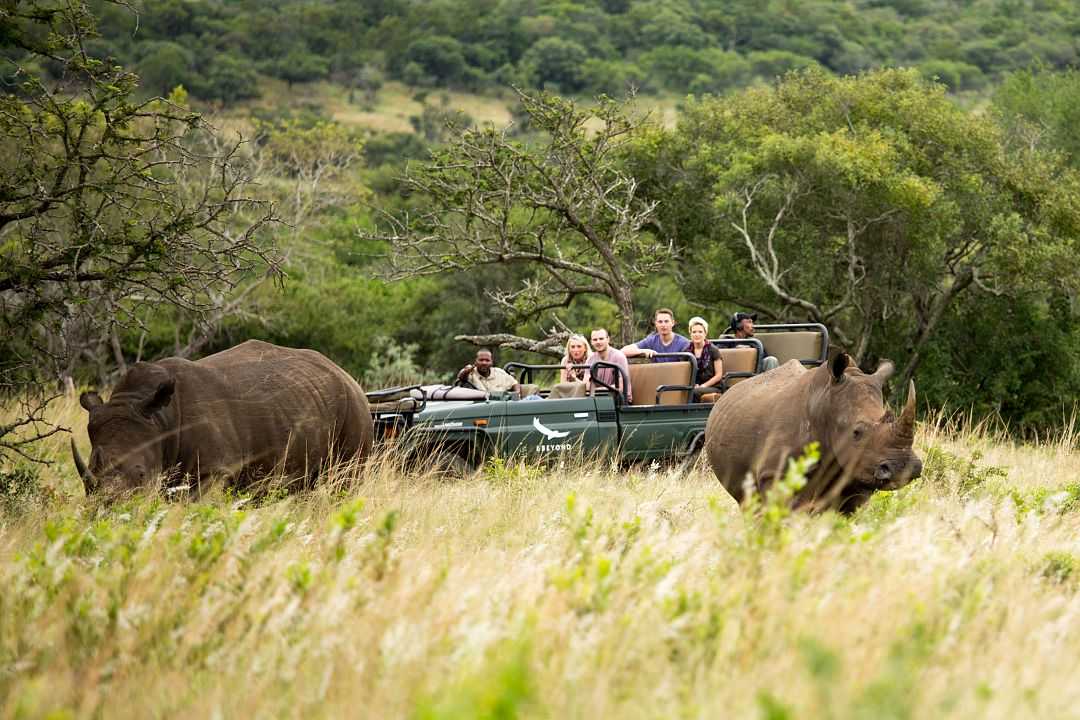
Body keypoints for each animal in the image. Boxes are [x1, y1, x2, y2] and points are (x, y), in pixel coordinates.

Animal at [70, 338, 375, 496]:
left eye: (141, 474)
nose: (108, 509)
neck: (160, 420)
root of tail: (344, 373)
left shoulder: (214, 470)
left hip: (354, 407)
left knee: (344, 481)